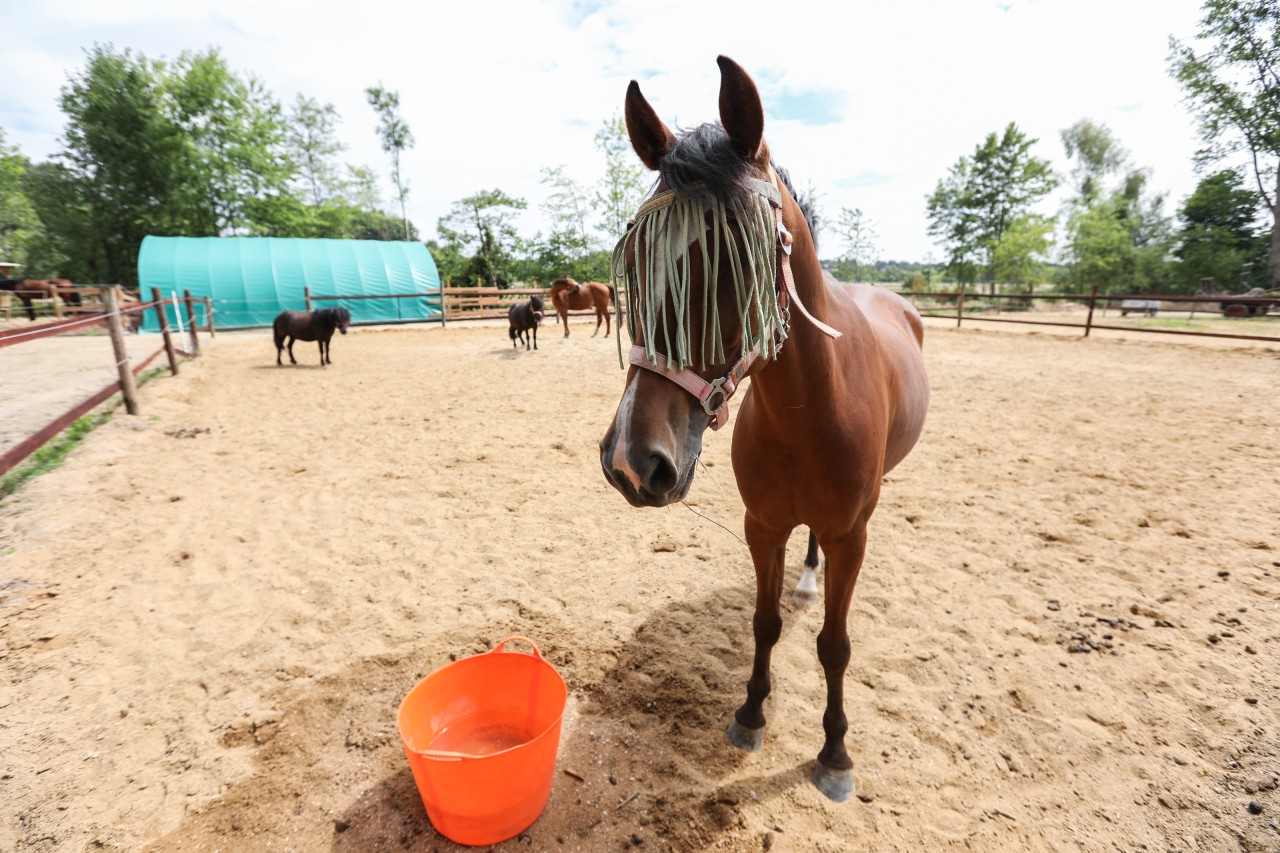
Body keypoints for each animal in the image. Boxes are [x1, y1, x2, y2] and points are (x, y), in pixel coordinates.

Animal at [599, 58, 931, 804]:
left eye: (735, 264)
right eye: (634, 262)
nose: (633, 462)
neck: (808, 409)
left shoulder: (851, 536)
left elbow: (834, 646)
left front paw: (834, 752)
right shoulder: (763, 526)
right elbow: (764, 621)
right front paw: (751, 711)